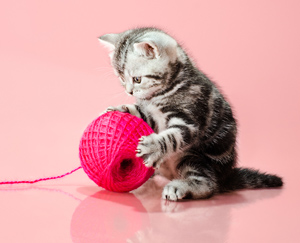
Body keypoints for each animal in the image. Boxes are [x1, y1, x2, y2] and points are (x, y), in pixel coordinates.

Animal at [99, 27, 284, 201]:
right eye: (122, 79)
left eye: (137, 79)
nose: (129, 91)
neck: (166, 90)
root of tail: (227, 176)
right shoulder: (153, 116)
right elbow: (143, 114)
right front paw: (122, 109)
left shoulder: (189, 119)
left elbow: (172, 137)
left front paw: (153, 147)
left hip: (196, 157)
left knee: (208, 184)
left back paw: (180, 187)